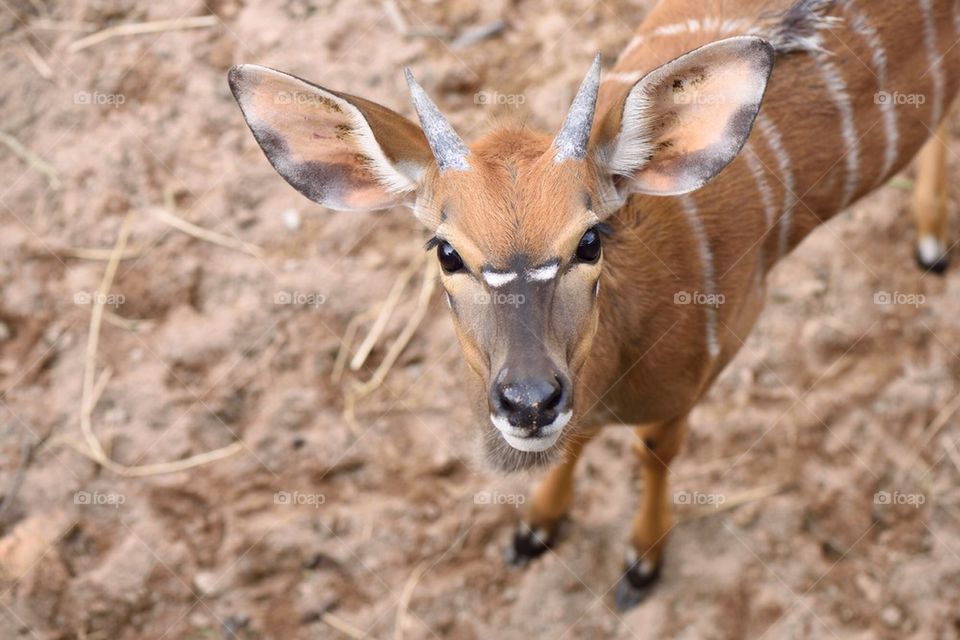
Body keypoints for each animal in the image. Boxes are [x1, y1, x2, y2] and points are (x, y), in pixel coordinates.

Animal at [229, 0, 956, 608]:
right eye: (446, 251)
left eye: (588, 240)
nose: (527, 400)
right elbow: (574, 446)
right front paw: (536, 527)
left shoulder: (704, 368)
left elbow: (654, 454)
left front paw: (643, 562)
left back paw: (931, 238)